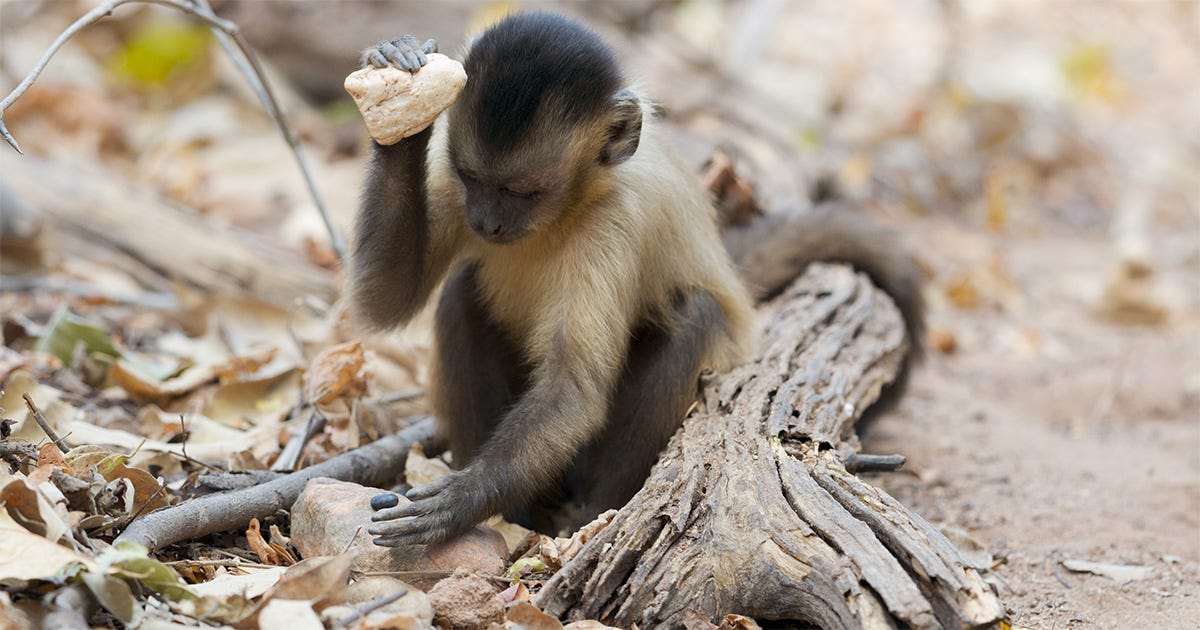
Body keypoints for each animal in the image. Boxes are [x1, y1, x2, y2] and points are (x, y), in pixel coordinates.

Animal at [350, 12, 924, 547]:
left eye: (523, 192)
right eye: (474, 180)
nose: (485, 223)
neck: (569, 207)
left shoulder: (614, 222)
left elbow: (574, 388)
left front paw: (461, 501)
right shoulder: (453, 188)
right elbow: (386, 301)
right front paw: (401, 95)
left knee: (695, 313)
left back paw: (588, 514)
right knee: (461, 295)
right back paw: (521, 515)